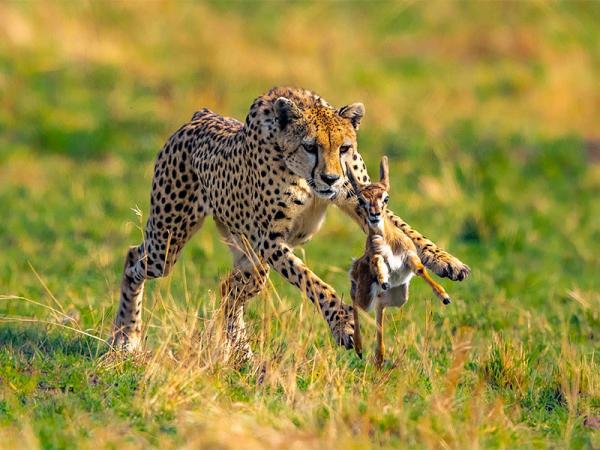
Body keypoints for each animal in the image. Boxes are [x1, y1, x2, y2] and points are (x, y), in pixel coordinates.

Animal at [110, 87, 472, 362]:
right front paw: (343, 323)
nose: (330, 178)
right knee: (134, 258)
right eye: (311, 146)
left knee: (230, 288)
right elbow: (314, 283)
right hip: (168, 242)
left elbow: (406, 231)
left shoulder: (359, 198)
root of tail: (200, 116)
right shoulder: (272, 241)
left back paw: (242, 356)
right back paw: (126, 337)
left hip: (250, 260)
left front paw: (447, 261)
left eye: (344, 148)